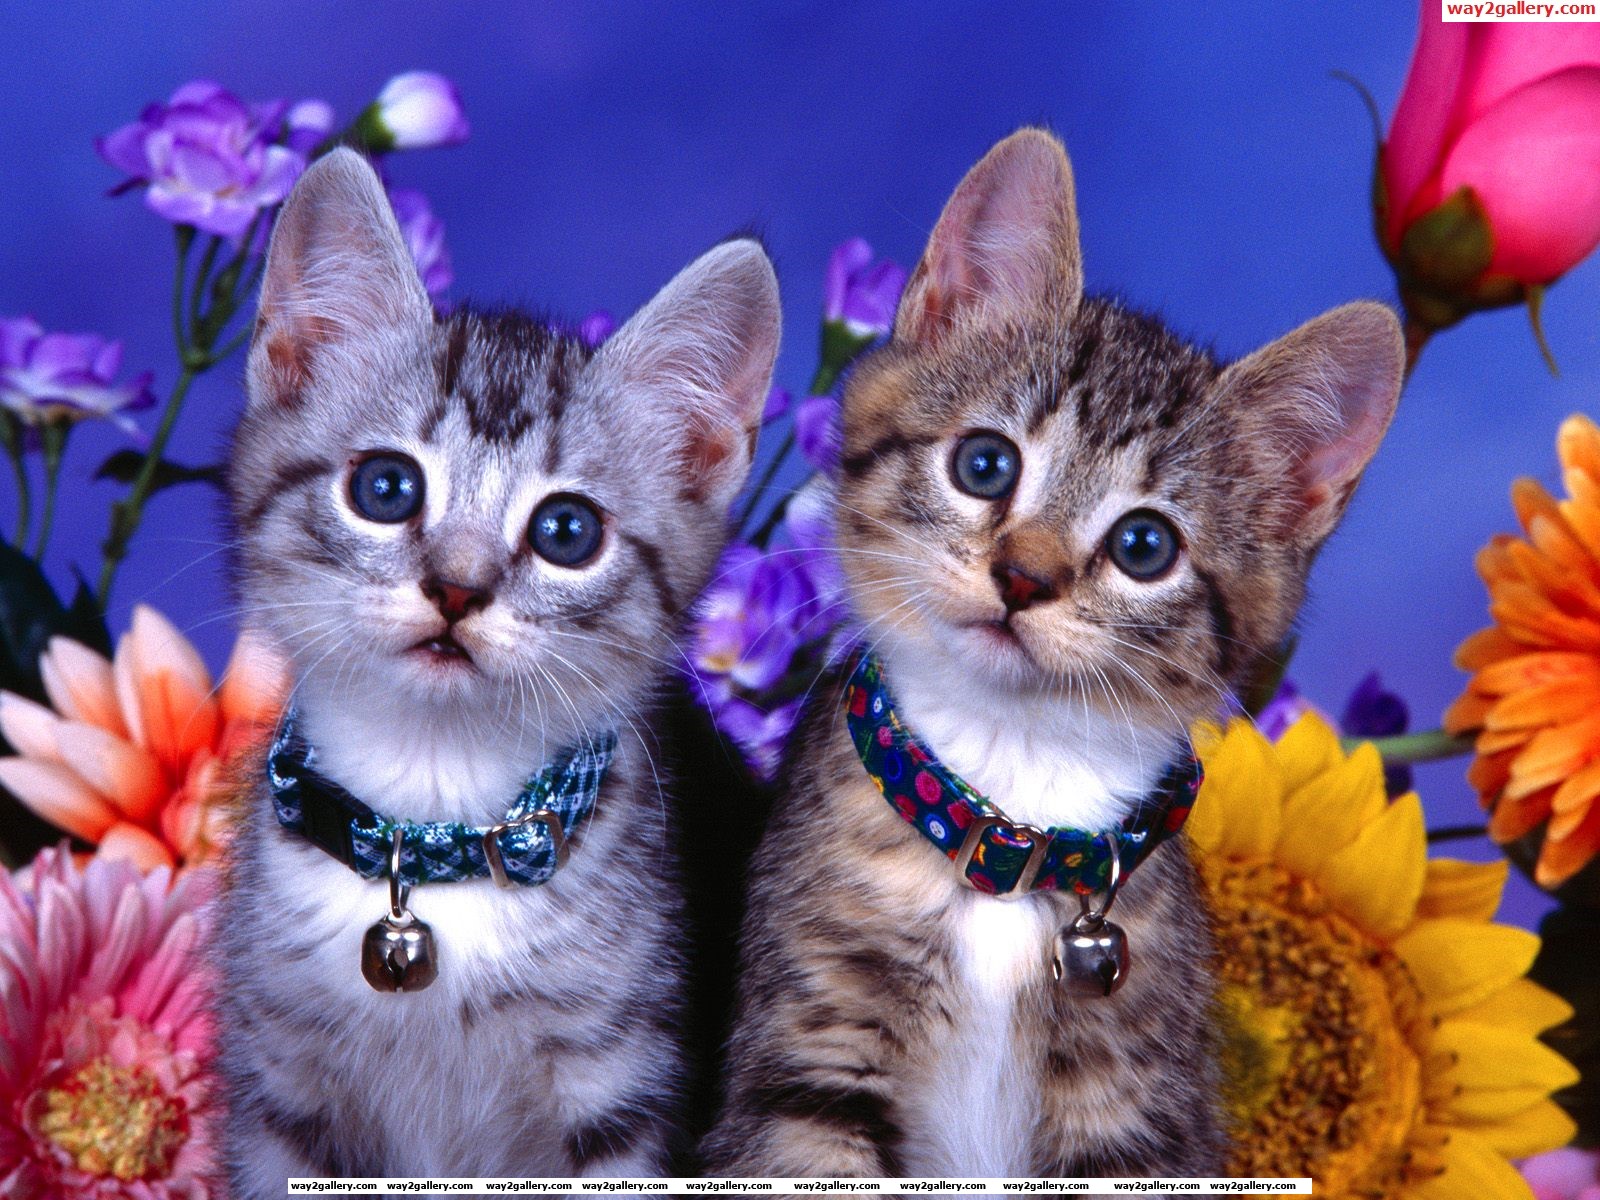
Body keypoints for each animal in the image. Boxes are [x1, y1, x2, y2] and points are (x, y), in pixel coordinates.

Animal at [216, 148, 780, 1190]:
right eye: (385, 487)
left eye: (566, 531)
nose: (457, 587)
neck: (432, 827)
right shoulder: (278, 1096)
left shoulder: (626, 1099)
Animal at [701, 128, 1403, 1180]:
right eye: (985, 464)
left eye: (1145, 546)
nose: (1023, 576)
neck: (1012, 807)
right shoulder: (802, 1065)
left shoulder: (1139, 1109)